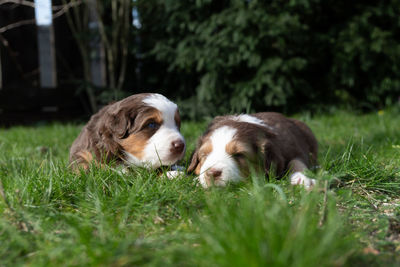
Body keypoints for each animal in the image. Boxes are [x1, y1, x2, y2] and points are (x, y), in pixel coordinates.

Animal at [188, 112, 318, 188]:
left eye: (239, 154)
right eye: (204, 155)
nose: (211, 173)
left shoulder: (294, 149)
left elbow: (296, 162)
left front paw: (303, 179)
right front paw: (196, 180)